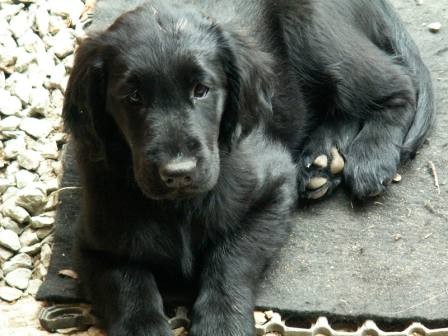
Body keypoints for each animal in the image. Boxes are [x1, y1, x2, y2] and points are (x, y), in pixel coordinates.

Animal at [62, 0, 430, 336]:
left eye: (201, 90)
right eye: (133, 97)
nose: (178, 172)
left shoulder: (273, 191)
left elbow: (231, 260)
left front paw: (222, 324)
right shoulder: (93, 243)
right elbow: (127, 286)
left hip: (316, 34)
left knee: (397, 84)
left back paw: (372, 155)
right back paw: (323, 163)